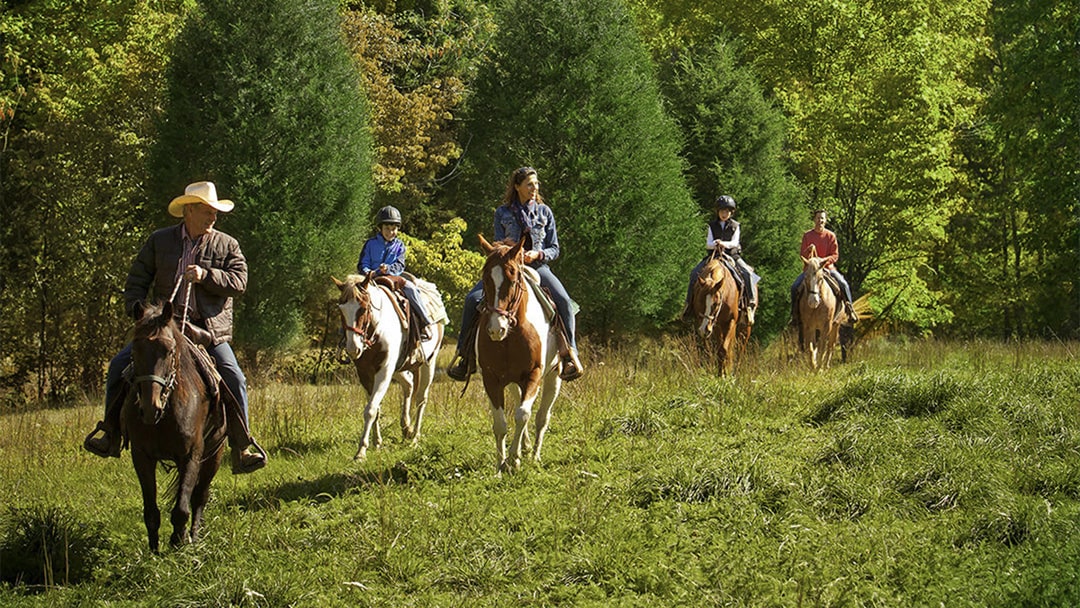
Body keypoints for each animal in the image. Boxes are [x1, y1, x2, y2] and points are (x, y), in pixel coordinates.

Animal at [124, 300, 225, 552]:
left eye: (169, 350)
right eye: (134, 351)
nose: (150, 407)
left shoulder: (191, 455)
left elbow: (182, 508)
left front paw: (179, 544)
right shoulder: (141, 457)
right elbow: (151, 511)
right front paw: (154, 551)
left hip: (214, 456)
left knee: (199, 497)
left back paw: (195, 536)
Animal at [332, 273, 442, 460]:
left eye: (363, 308)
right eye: (341, 310)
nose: (353, 349)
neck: (377, 331)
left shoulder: (383, 372)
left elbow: (370, 409)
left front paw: (361, 451)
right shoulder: (366, 374)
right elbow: (375, 408)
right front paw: (377, 443)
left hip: (428, 363)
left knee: (421, 398)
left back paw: (415, 438)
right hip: (399, 368)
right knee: (409, 385)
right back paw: (406, 427)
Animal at [481, 235, 565, 473]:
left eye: (513, 278)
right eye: (485, 279)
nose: (496, 329)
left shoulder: (533, 375)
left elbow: (523, 415)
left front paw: (513, 459)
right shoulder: (491, 379)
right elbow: (500, 422)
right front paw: (501, 465)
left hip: (554, 377)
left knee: (541, 417)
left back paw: (534, 454)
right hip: (512, 383)